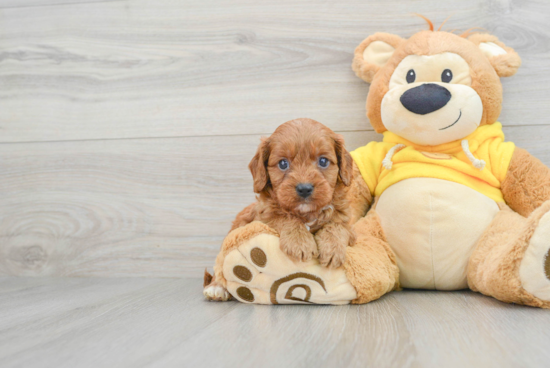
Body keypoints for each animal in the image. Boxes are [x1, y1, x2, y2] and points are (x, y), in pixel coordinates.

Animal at [234, 118, 356, 268]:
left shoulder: (349, 227)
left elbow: (337, 226)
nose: (304, 189)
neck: (307, 214)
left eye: (323, 161)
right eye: (283, 163)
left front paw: (333, 248)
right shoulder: (262, 219)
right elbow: (284, 217)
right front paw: (300, 242)